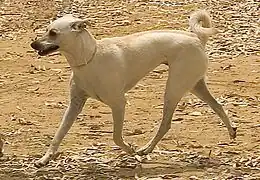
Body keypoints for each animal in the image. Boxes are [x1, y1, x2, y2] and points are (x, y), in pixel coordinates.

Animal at [31, 9, 238, 167]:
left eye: (53, 33)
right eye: (47, 30)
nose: (33, 44)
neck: (89, 59)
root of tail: (197, 37)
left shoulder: (119, 104)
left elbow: (116, 137)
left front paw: (131, 151)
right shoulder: (75, 105)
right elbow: (58, 134)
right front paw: (45, 159)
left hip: (173, 90)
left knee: (166, 124)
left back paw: (146, 149)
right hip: (195, 86)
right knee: (217, 105)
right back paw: (231, 131)